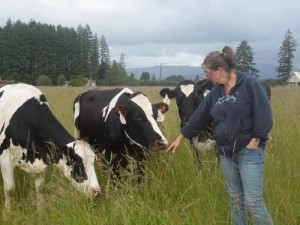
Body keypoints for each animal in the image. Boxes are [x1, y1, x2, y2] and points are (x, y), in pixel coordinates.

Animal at [0, 83, 101, 219]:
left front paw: (41, 212)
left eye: (94, 161)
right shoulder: (5, 159)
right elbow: (10, 190)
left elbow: (40, 187)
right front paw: (6, 215)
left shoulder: (43, 158)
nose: (96, 191)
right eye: (77, 163)